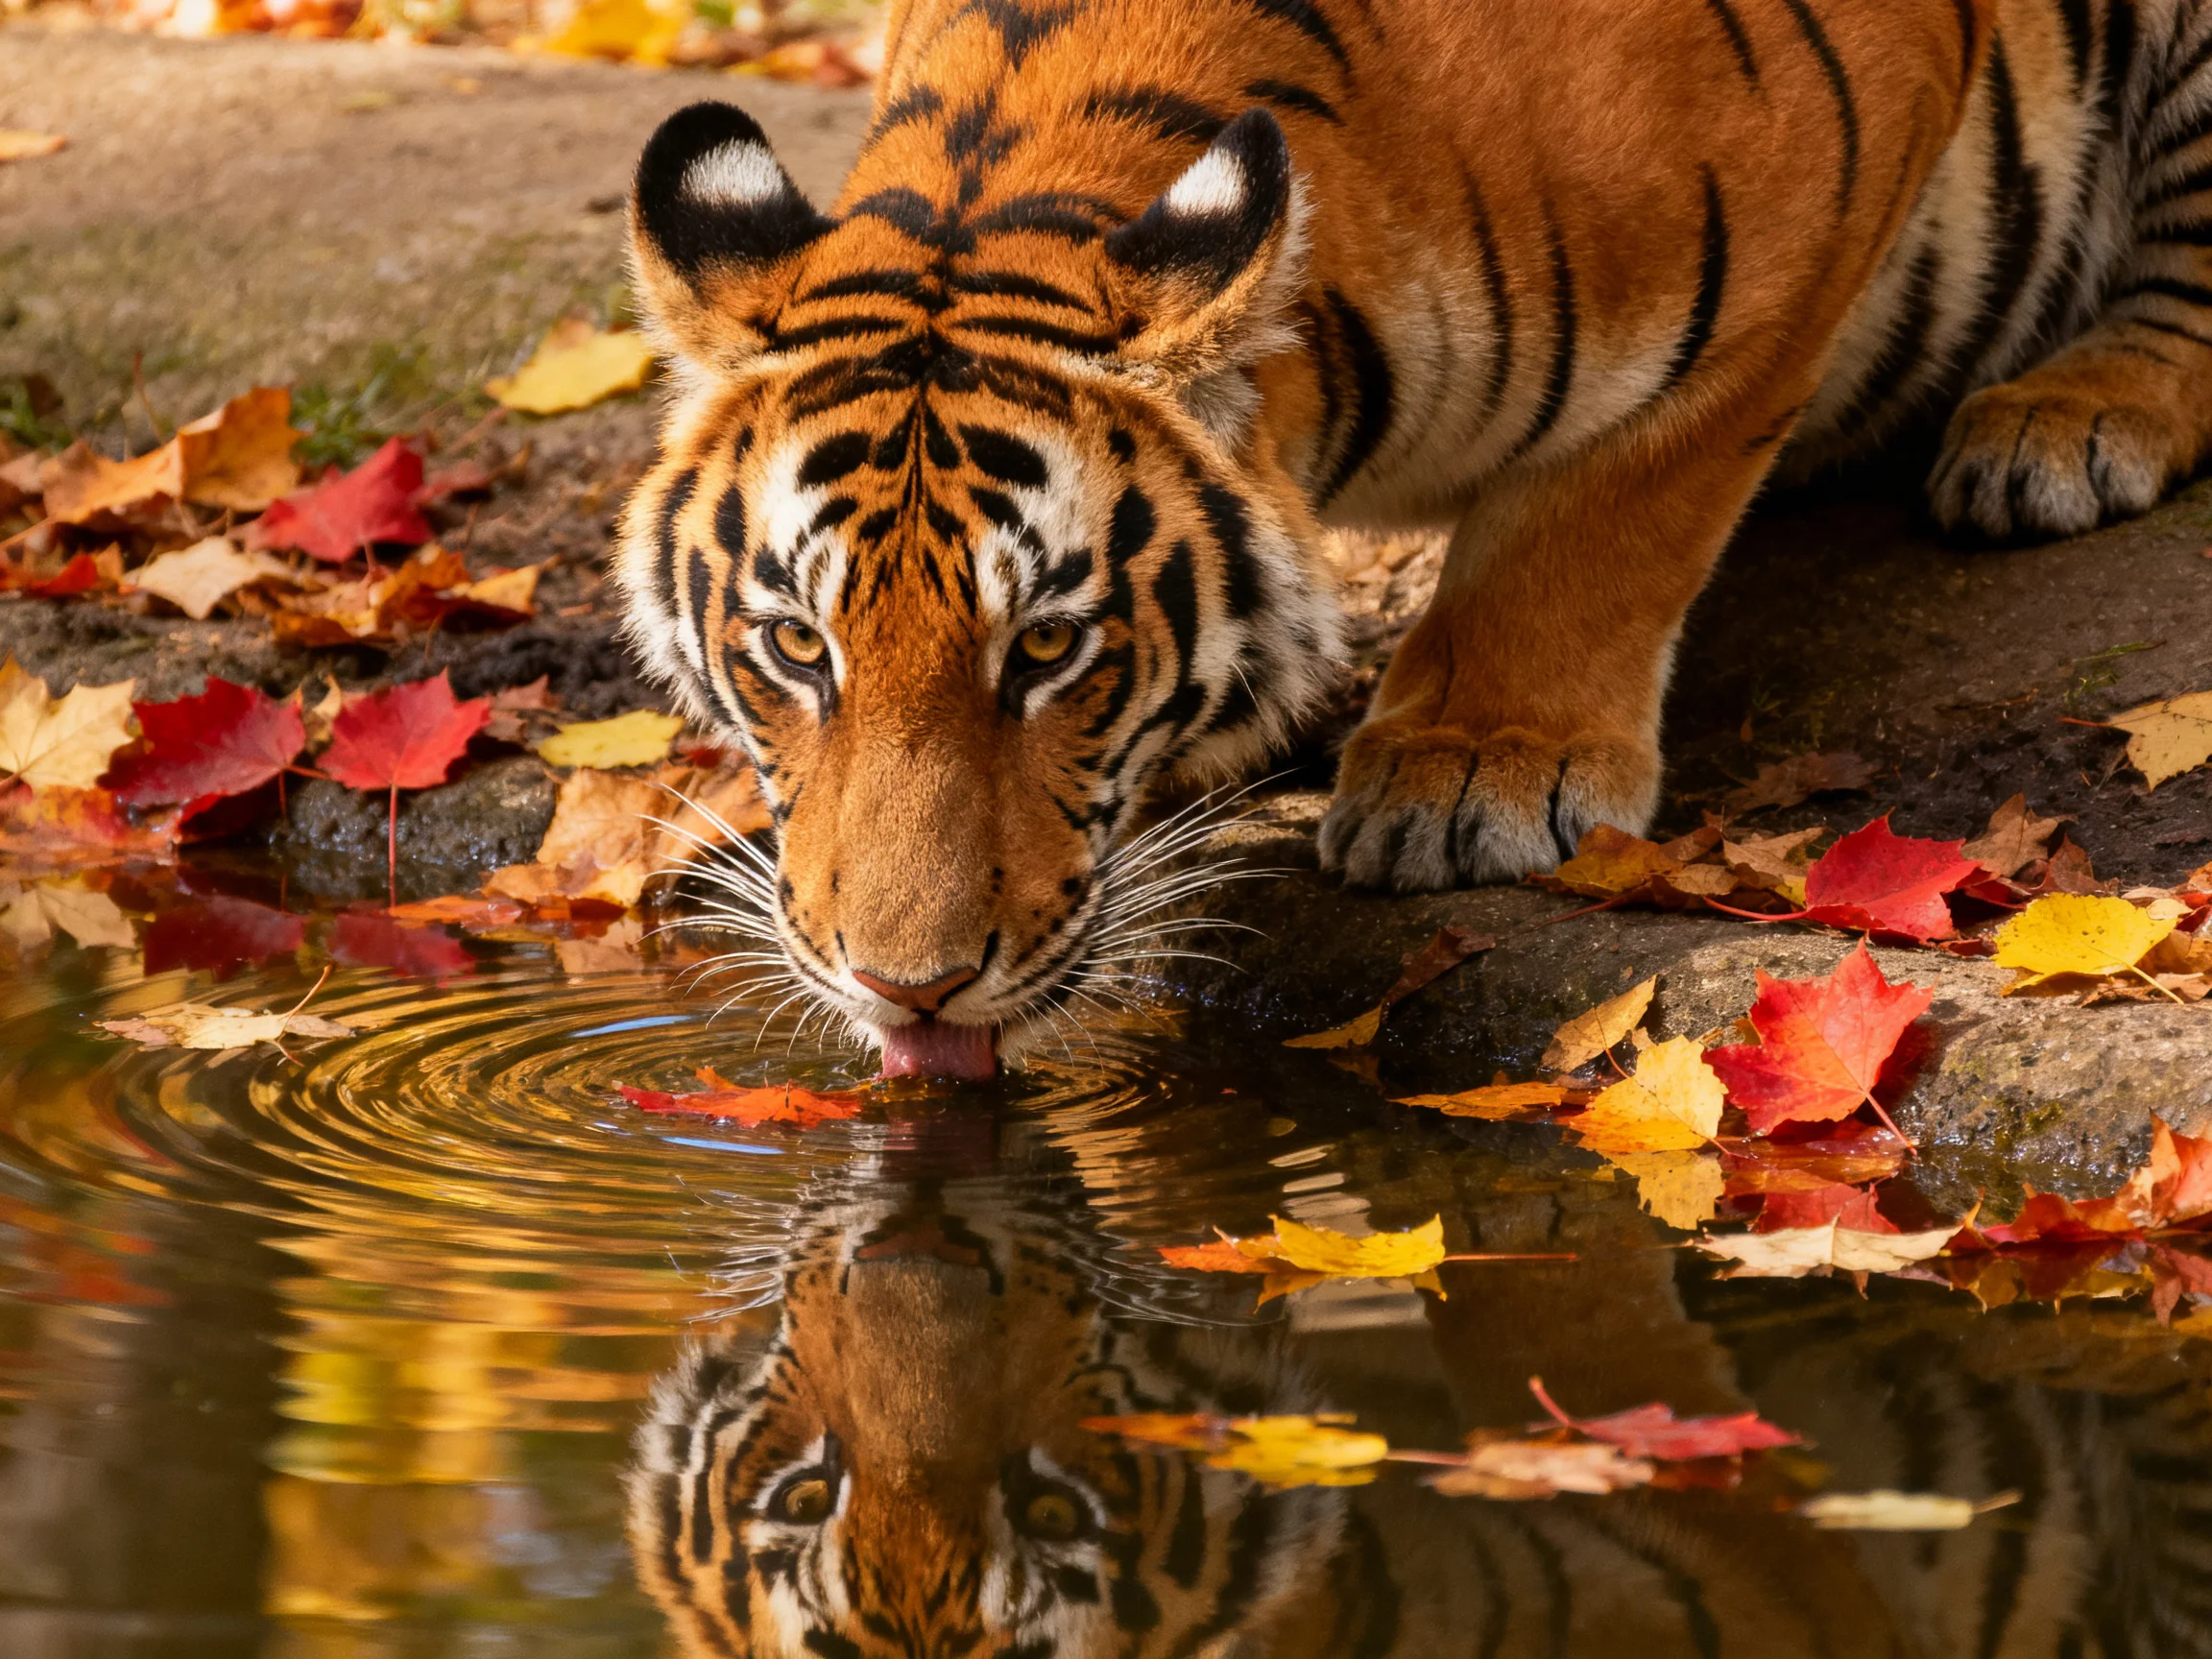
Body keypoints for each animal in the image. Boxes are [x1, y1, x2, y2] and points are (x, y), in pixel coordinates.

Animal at [616, 0, 2212, 1078]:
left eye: (1051, 648)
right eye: (796, 646)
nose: (908, 988)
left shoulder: (1789, 247)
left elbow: (1599, 522)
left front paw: (1478, 765)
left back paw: (2069, 420)